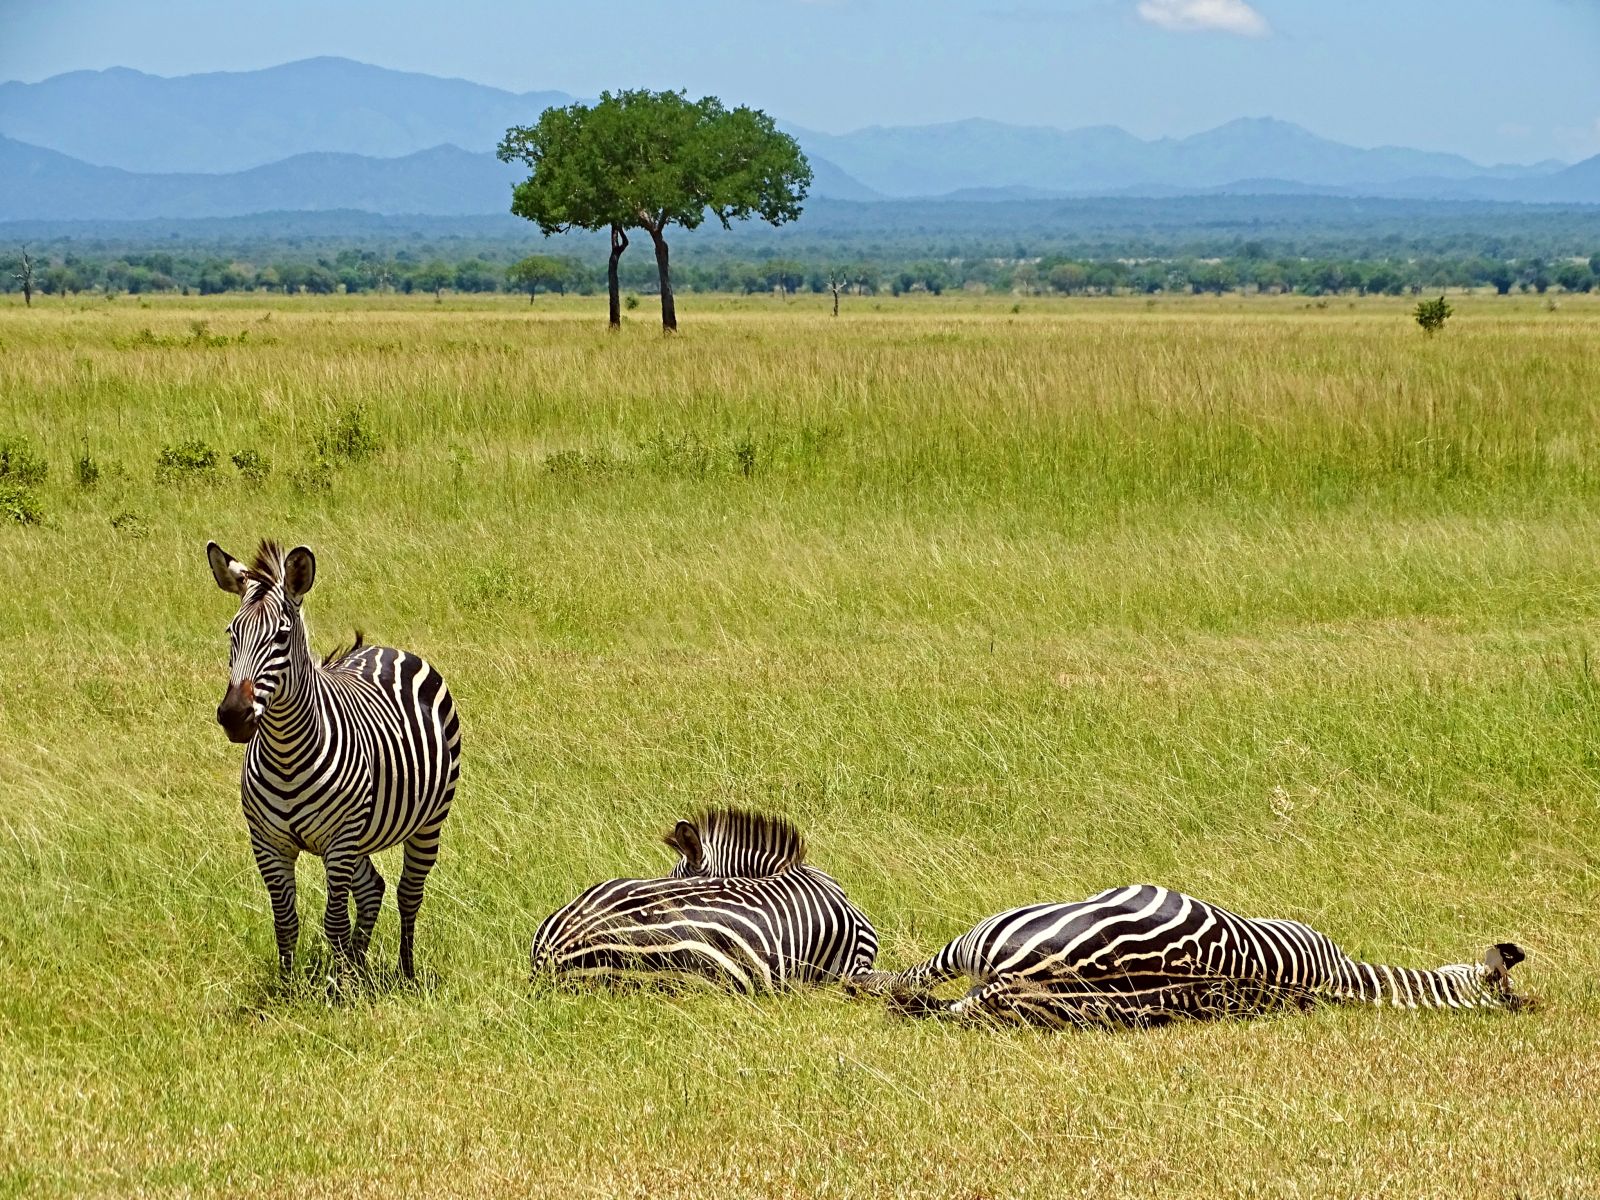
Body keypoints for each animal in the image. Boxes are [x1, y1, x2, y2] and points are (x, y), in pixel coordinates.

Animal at [203, 544, 460, 985]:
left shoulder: (339, 841)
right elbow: (285, 921)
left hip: (427, 821)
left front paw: (337, 991)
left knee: (408, 893)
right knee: (373, 887)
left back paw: (403, 971)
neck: (286, 753)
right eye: (231, 634)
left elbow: (334, 922)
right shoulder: (267, 842)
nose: (234, 716)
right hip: (359, 835)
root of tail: (386, 649)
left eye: (281, 636)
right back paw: (357, 966)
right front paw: (290, 988)